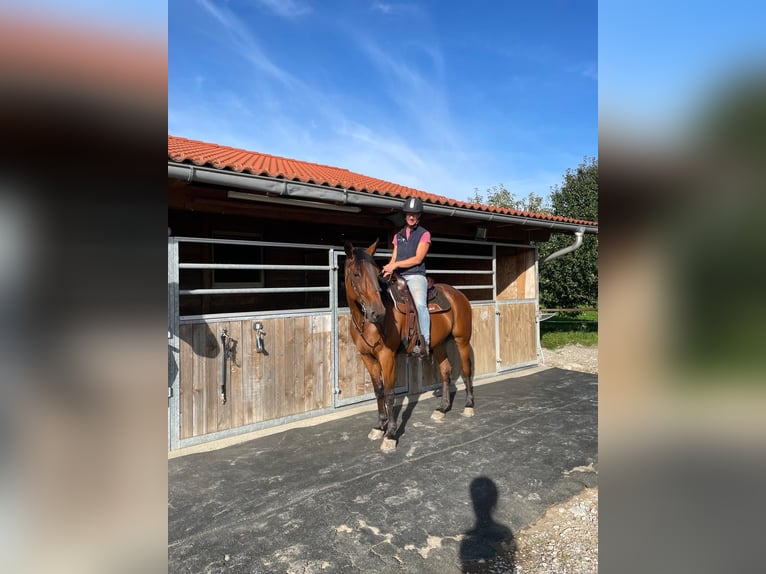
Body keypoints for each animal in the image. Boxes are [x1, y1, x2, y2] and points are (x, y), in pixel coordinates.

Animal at [343, 240, 475, 452]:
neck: (367, 322)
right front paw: (379, 426)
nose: (377, 312)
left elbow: (389, 394)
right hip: (438, 344)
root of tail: (458, 294)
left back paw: (469, 406)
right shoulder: (367, 357)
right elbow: (378, 391)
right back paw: (442, 408)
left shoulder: (386, 356)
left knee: (466, 369)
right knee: (446, 371)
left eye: (376, 273)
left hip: (462, 340)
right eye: (356, 274)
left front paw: (390, 434)